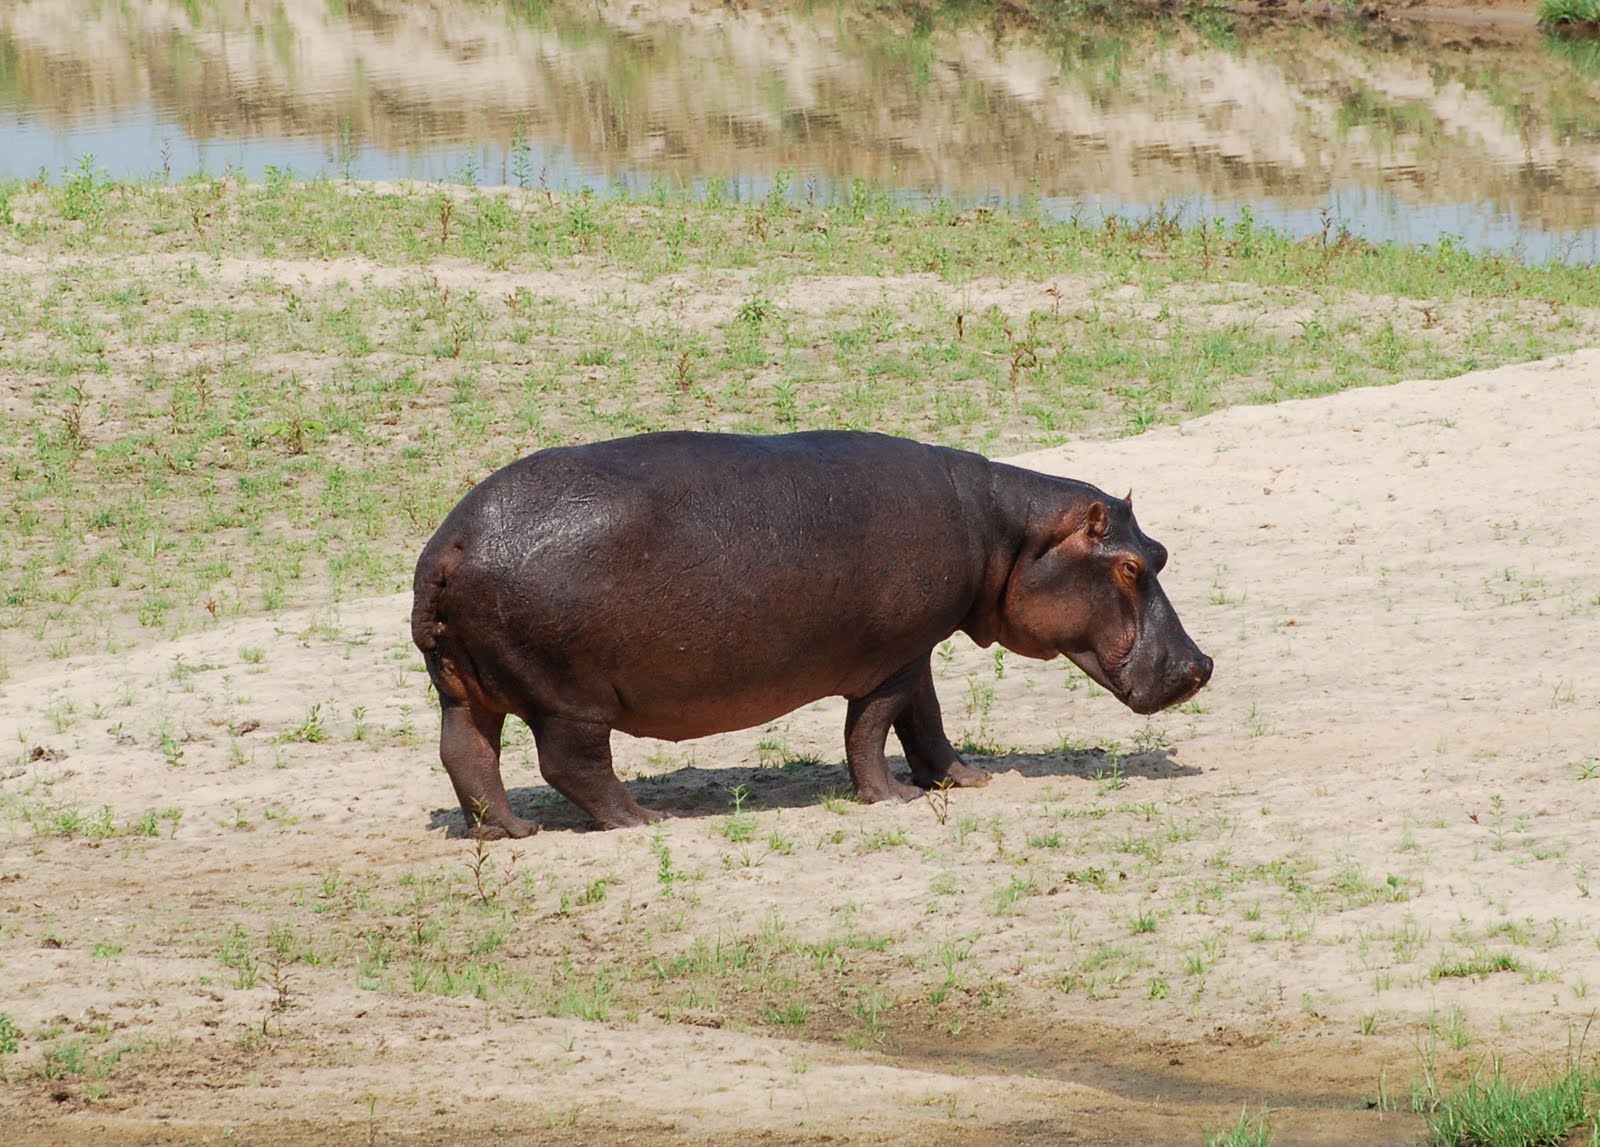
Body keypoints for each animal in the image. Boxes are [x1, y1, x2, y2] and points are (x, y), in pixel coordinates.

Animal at [411, 430, 1211, 837]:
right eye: (1132, 565)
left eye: (1164, 550)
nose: (1200, 666)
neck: (1007, 533)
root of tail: (451, 545)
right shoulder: (889, 658)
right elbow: (873, 728)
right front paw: (894, 800)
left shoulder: (915, 649)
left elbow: (927, 722)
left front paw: (965, 779)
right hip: (571, 700)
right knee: (572, 765)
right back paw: (645, 819)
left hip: (463, 688)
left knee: (468, 756)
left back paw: (510, 832)